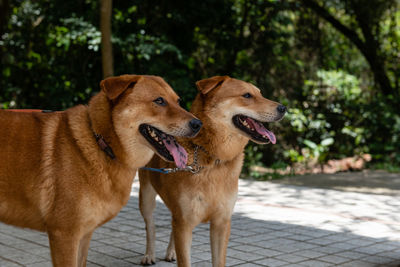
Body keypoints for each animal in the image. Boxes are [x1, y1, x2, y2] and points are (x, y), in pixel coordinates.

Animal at [0, 75, 202, 267]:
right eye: (159, 101)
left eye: (178, 101)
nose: (198, 124)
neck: (100, 141)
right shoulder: (64, 235)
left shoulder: (83, 234)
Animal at [139, 76, 286, 267]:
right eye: (247, 95)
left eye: (260, 94)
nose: (283, 108)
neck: (213, 158)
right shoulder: (185, 223)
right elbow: (184, 259)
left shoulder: (221, 223)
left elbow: (218, 260)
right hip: (146, 197)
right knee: (150, 226)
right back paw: (149, 255)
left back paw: (170, 252)